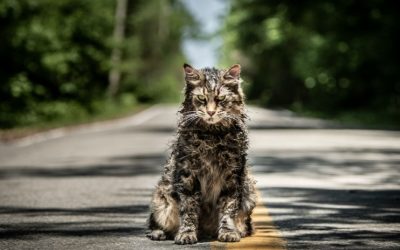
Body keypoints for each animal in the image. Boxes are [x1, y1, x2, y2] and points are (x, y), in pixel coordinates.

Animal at [147, 63, 256, 245]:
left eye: (221, 99)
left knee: (245, 224)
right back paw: (158, 233)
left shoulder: (232, 176)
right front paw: (187, 234)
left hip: (249, 192)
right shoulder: (188, 175)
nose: (211, 112)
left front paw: (228, 232)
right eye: (201, 98)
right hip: (161, 198)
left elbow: (228, 209)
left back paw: (236, 231)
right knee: (155, 222)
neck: (212, 136)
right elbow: (189, 210)